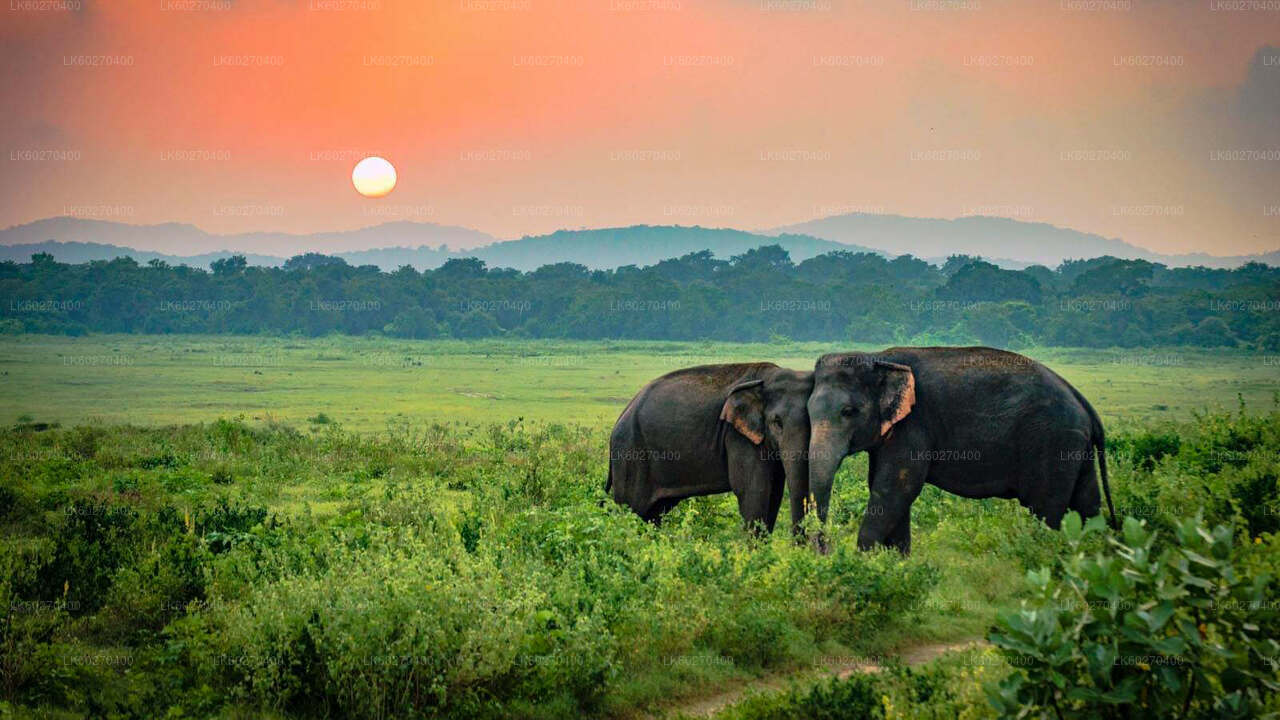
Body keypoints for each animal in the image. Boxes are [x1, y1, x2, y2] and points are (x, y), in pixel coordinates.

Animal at [606, 361, 808, 535]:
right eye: (777, 422)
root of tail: (622, 415)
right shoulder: (738, 437)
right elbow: (754, 491)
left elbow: (774, 493)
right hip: (631, 454)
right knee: (631, 508)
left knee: (652, 514)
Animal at [808, 345, 1111, 550]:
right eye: (808, 411)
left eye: (848, 412)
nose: (825, 549)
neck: (878, 357)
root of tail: (1082, 401)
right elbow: (888, 489)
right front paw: (896, 563)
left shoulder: (914, 425)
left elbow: (895, 488)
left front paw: (865, 561)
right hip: (1073, 446)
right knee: (1087, 503)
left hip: (1052, 442)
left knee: (1045, 509)